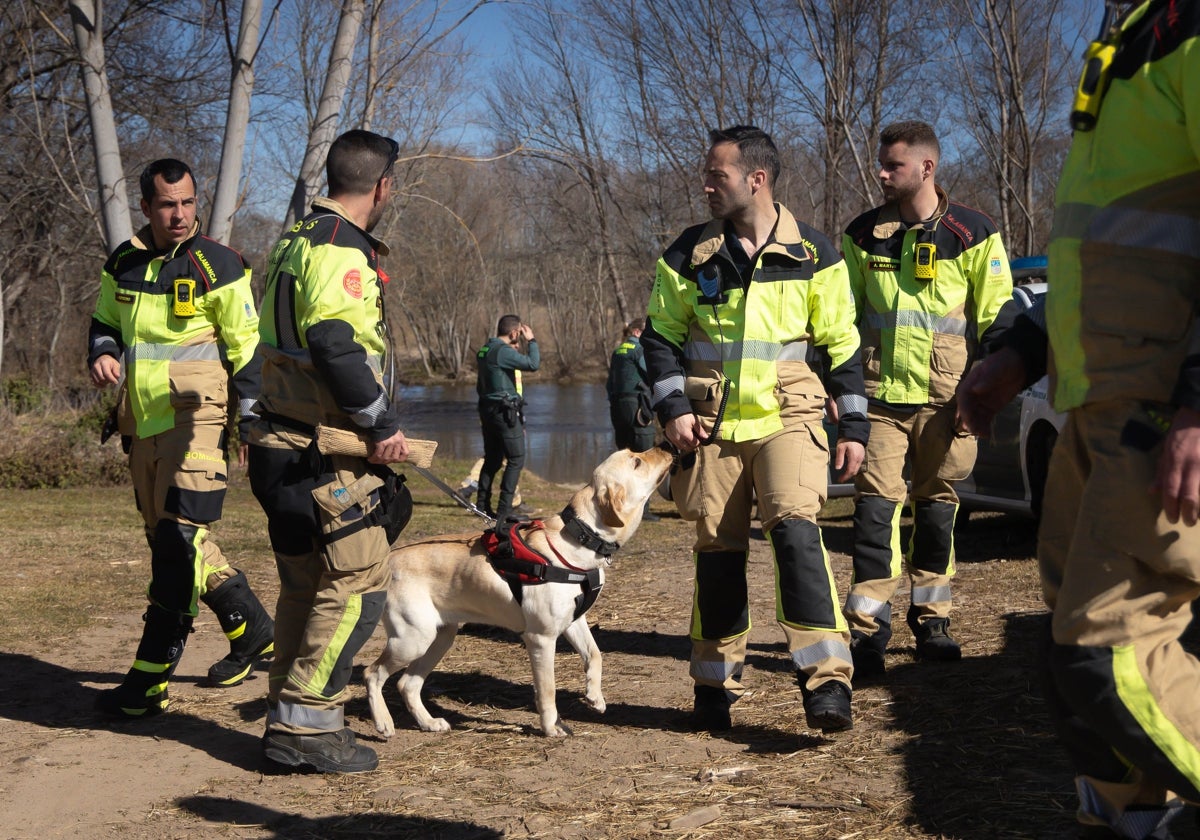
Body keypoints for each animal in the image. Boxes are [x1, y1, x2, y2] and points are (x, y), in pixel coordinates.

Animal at [360, 446, 681, 734]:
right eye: (637, 461)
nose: (667, 446)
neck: (580, 540)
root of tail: (390, 558)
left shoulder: (574, 620)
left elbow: (596, 654)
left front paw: (595, 697)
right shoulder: (541, 638)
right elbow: (548, 689)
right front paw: (552, 727)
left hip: (440, 637)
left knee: (407, 684)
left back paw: (429, 723)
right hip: (413, 638)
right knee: (372, 673)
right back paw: (383, 722)